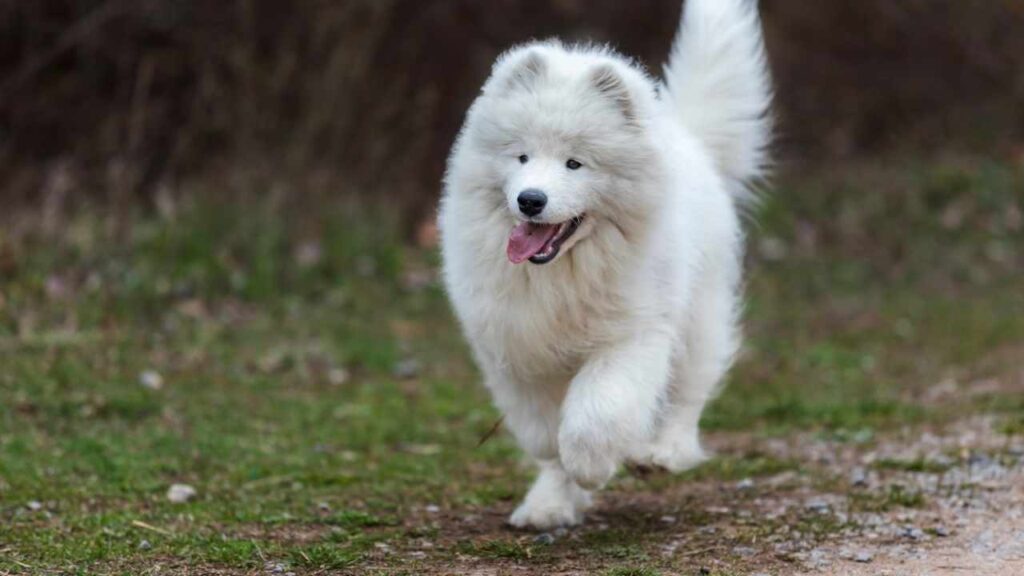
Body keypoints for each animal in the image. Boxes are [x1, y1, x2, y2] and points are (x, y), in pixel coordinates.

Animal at [438, 0, 770, 528]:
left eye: (575, 163)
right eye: (522, 156)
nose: (530, 200)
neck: (561, 273)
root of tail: (687, 138)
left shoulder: (630, 336)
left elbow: (597, 411)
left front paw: (592, 466)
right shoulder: (514, 347)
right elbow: (544, 433)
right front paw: (554, 499)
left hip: (699, 314)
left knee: (687, 393)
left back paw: (661, 453)